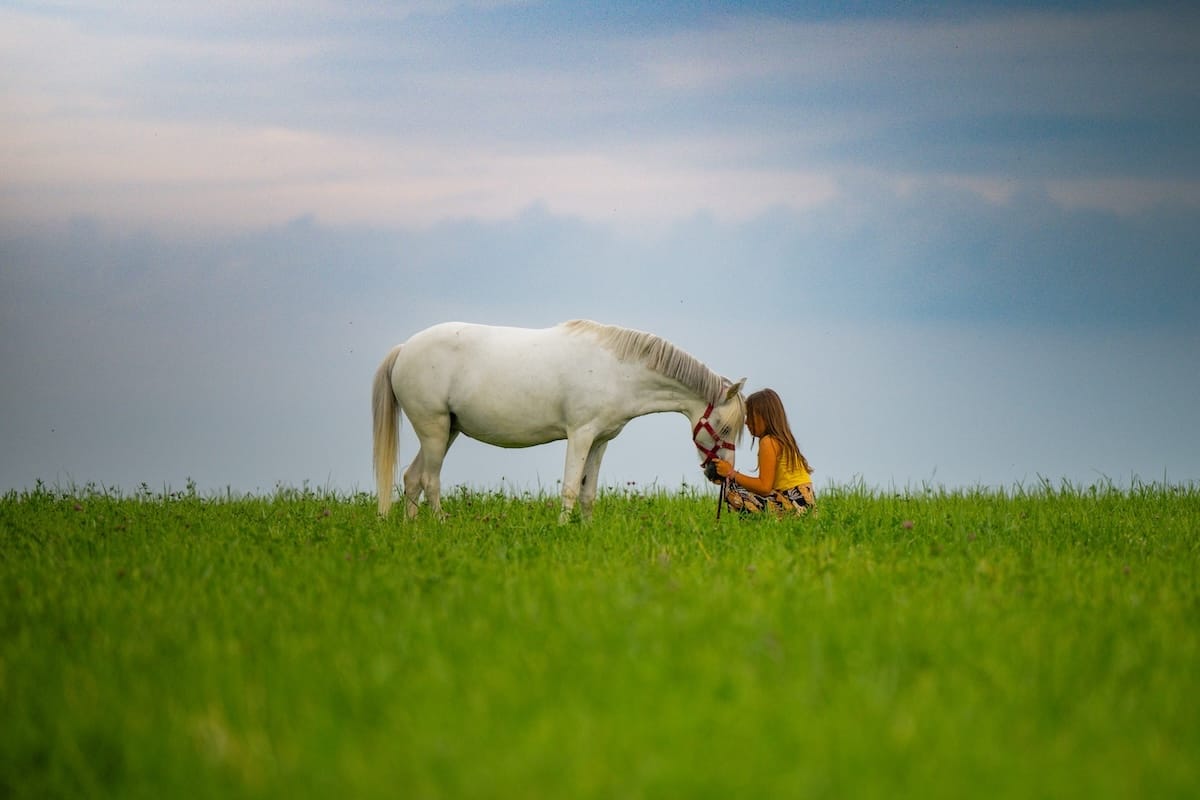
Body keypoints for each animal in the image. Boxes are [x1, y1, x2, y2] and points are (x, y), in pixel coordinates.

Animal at [372, 320, 746, 522]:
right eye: (726, 428)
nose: (719, 475)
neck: (618, 371)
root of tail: (404, 349)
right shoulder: (580, 434)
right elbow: (569, 488)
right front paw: (564, 528)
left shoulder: (600, 441)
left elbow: (588, 493)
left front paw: (588, 530)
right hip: (434, 429)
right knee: (430, 480)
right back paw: (440, 524)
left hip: (446, 430)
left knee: (413, 478)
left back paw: (413, 530)